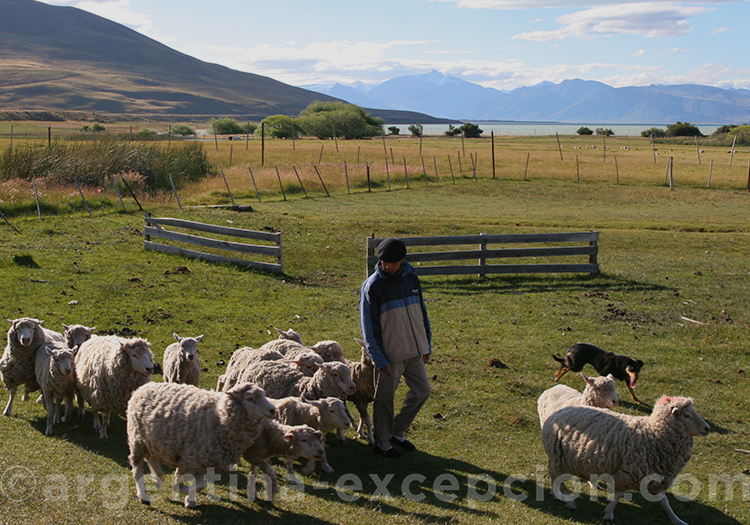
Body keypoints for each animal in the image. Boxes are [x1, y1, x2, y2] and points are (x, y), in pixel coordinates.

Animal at [126, 381, 276, 508]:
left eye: (263, 395)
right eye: (250, 399)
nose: (273, 410)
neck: (220, 416)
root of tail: (142, 387)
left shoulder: (203, 461)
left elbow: (200, 484)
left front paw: (188, 497)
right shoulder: (194, 458)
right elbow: (198, 484)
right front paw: (182, 490)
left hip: (150, 441)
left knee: (150, 458)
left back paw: (157, 479)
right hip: (137, 439)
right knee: (137, 469)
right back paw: (143, 495)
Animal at [542, 395, 709, 525]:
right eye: (686, 415)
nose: (707, 428)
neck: (653, 433)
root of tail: (558, 412)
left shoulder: (654, 477)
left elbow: (665, 502)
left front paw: (677, 520)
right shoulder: (626, 472)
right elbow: (619, 495)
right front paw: (609, 513)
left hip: (560, 460)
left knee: (556, 479)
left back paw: (558, 496)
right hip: (557, 457)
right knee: (557, 479)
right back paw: (567, 501)